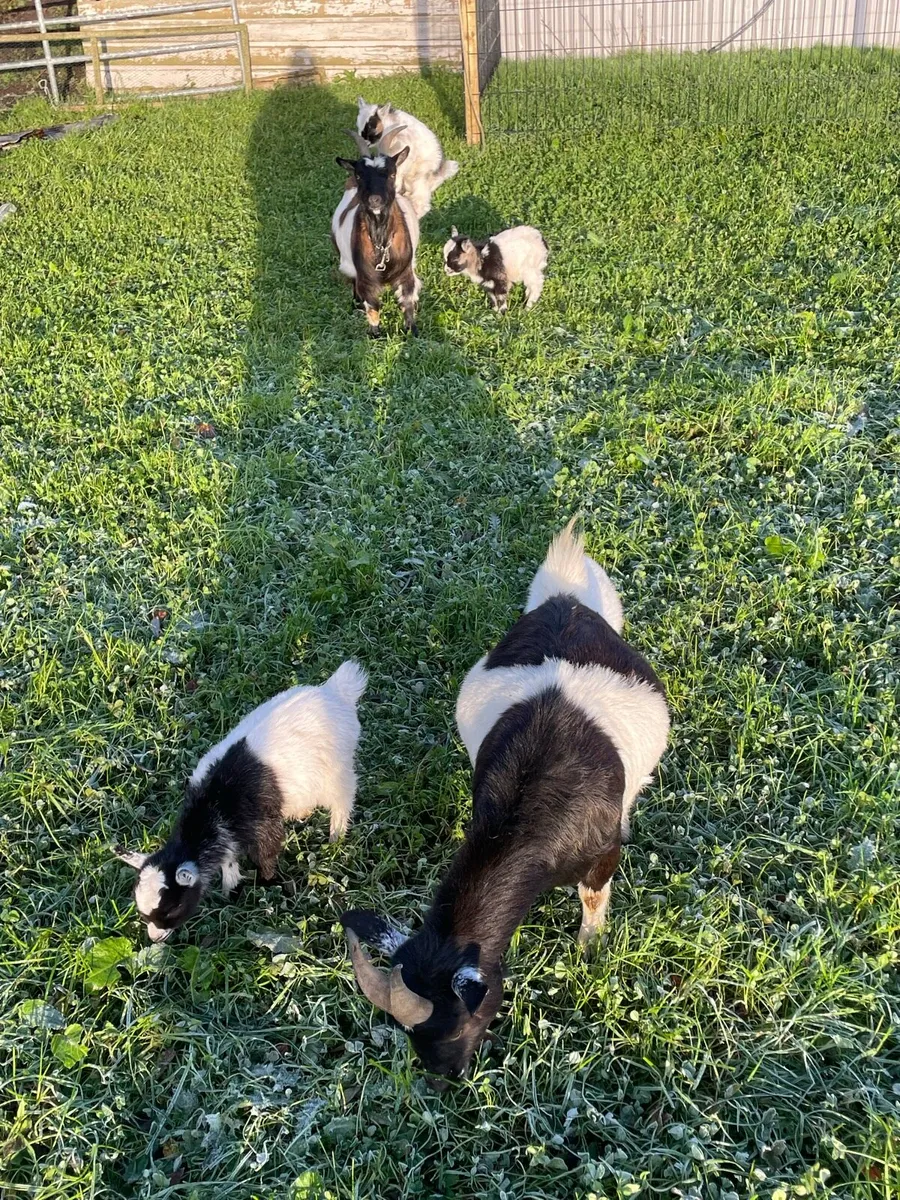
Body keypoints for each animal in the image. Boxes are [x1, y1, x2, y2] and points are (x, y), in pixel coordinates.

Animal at [116, 661, 367, 942]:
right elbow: (229, 858)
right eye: (144, 914)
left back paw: (336, 836)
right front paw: (231, 890)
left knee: (344, 797)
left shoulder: (261, 823)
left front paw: (266, 882)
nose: (155, 937)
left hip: (337, 770)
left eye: (172, 909)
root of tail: (336, 690)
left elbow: (266, 852)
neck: (210, 804)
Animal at [332, 131, 421, 336]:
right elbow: (373, 306)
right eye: (359, 175)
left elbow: (407, 302)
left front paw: (412, 331)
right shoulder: (366, 278)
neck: (381, 242)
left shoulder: (406, 272)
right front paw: (375, 334)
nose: (375, 200)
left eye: (392, 173)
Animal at [342, 522, 669, 1083]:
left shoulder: (604, 850)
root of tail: (565, 600)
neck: (528, 812)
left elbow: (593, 899)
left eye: (455, 1025)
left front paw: (589, 950)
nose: (446, 1076)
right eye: (407, 1032)